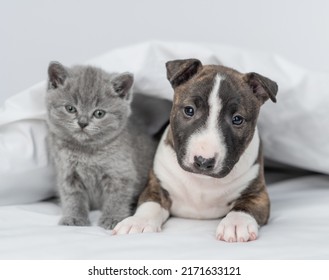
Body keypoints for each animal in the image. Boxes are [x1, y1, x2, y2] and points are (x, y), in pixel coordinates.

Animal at [45, 62, 156, 229]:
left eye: (99, 113)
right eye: (70, 108)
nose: (82, 122)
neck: (87, 151)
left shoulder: (120, 173)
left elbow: (116, 198)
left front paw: (113, 218)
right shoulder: (67, 173)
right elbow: (73, 197)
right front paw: (74, 218)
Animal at [113, 58, 276, 242]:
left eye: (237, 119)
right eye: (189, 110)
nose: (203, 161)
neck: (202, 181)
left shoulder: (258, 193)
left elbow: (246, 206)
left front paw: (236, 224)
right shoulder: (155, 186)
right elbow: (150, 204)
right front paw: (137, 222)